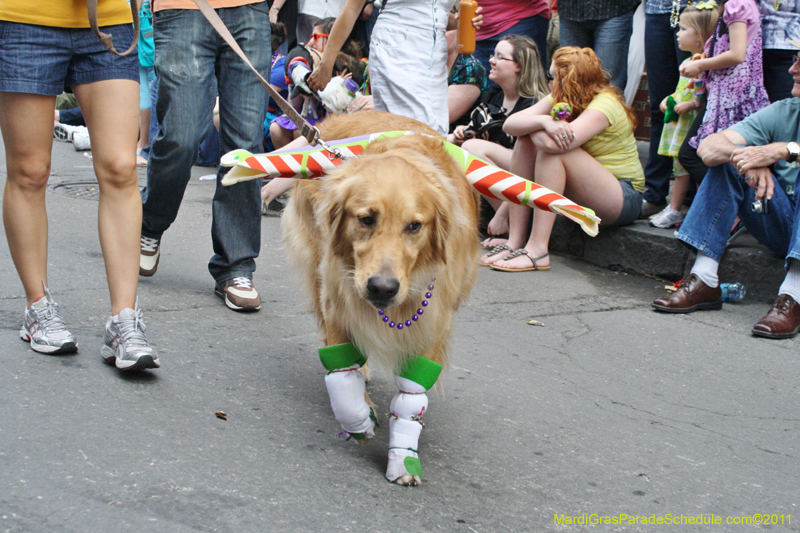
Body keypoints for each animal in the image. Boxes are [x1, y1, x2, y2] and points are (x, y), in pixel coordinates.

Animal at [282, 110, 478, 484]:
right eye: (366, 219)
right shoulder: (337, 301)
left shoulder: (432, 322)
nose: (382, 288)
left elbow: (411, 398)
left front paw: (403, 459)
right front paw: (358, 420)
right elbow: (342, 374)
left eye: (415, 226)